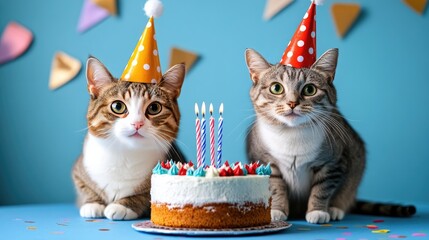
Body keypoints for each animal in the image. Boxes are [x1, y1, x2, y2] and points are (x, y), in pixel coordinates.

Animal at [72, 57, 186, 220]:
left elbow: (145, 195)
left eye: (154, 108)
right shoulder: (78, 171)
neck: (124, 153)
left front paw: (122, 206)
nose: (137, 123)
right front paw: (92, 204)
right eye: (118, 106)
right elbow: (85, 188)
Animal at [244, 47, 364, 224]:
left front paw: (318, 211)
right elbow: (275, 186)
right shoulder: (265, 161)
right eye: (276, 88)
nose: (292, 103)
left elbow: (322, 189)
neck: (292, 133)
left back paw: (335, 209)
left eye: (310, 89)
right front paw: (276, 210)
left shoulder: (333, 163)